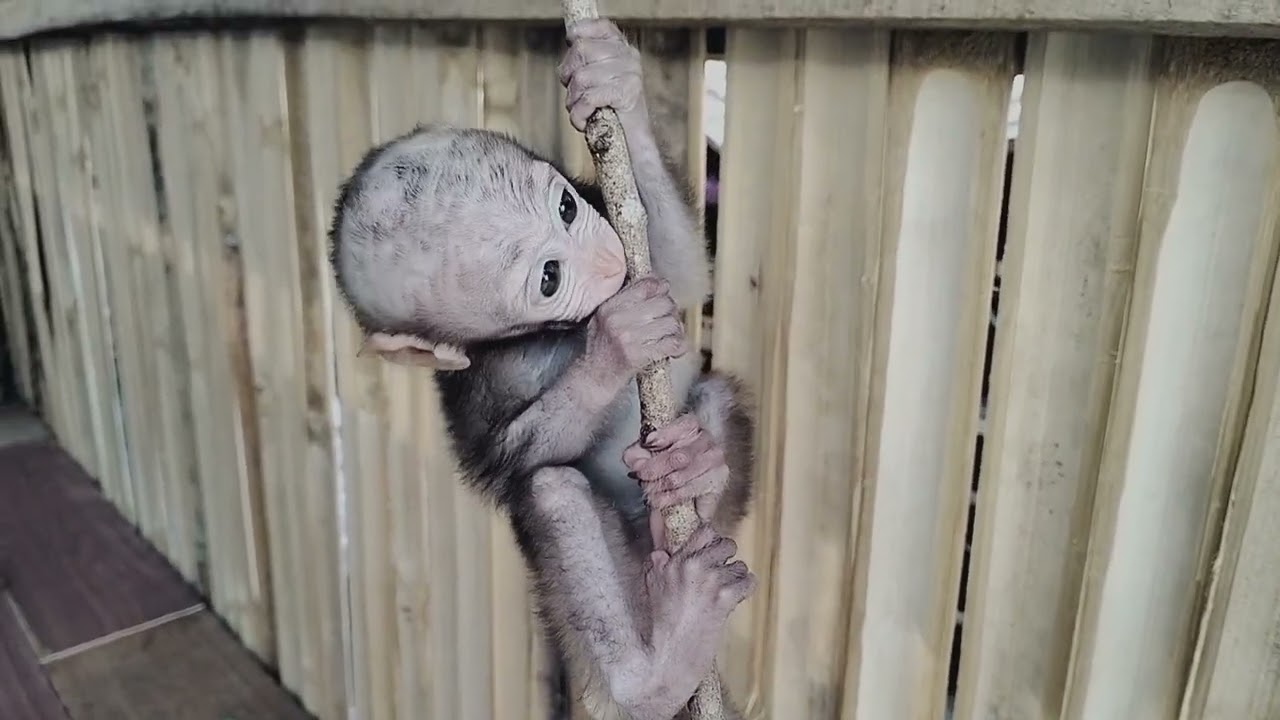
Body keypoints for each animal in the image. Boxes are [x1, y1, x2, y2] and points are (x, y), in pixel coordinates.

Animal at [328, 19, 756, 720]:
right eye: (550, 279)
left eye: (567, 209)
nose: (607, 262)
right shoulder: (466, 384)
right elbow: (507, 461)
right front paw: (615, 344)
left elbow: (681, 269)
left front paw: (612, 79)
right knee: (552, 492)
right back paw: (655, 672)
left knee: (714, 397)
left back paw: (693, 471)